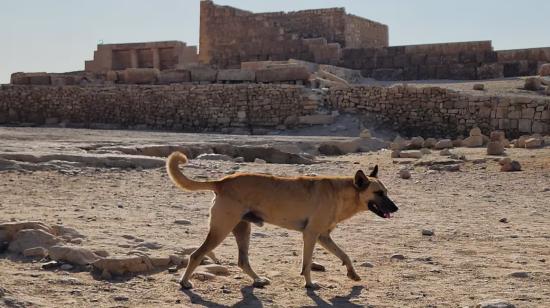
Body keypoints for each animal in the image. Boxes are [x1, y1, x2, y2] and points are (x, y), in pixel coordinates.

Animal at [166, 152, 398, 288]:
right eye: (378, 193)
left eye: (386, 192)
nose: (396, 208)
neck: (343, 193)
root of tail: (222, 182)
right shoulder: (311, 235)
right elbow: (307, 263)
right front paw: (309, 284)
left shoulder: (323, 237)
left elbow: (345, 255)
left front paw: (352, 274)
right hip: (221, 230)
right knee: (196, 254)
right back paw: (184, 282)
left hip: (243, 230)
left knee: (242, 261)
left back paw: (258, 279)